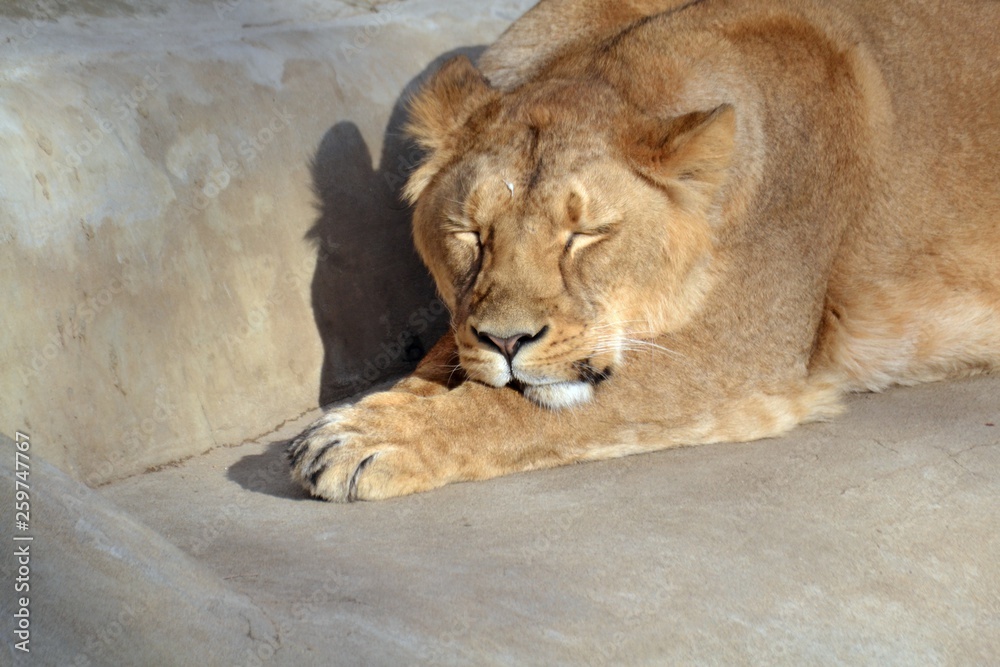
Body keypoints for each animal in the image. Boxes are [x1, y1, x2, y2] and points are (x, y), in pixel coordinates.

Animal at [288, 0, 1000, 501]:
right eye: (471, 234)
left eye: (586, 236)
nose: (508, 341)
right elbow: (444, 357)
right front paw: (377, 411)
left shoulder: (737, 358)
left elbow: (515, 408)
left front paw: (374, 439)